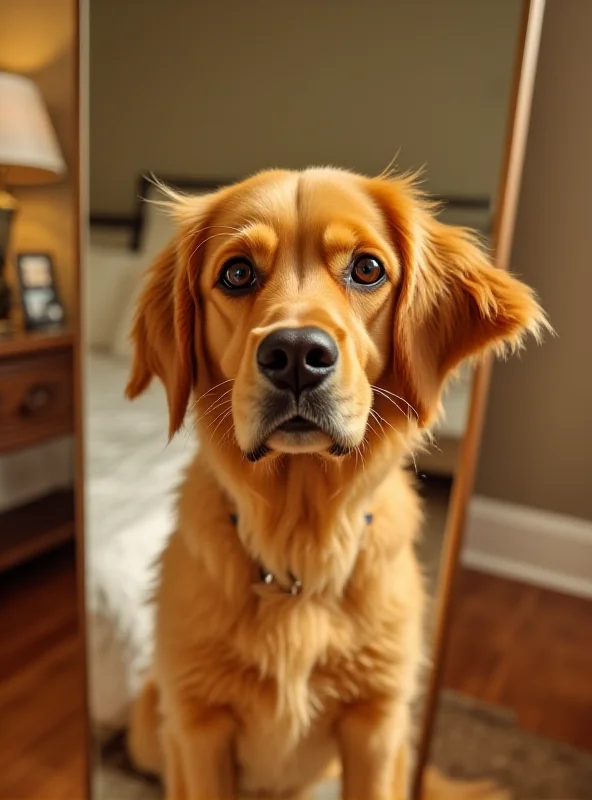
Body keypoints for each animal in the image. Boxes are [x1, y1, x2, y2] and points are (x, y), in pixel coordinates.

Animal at [123, 166, 544, 796]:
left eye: (367, 268)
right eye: (237, 273)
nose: (297, 353)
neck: (300, 553)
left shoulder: (375, 727)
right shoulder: (198, 726)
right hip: (152, 724)